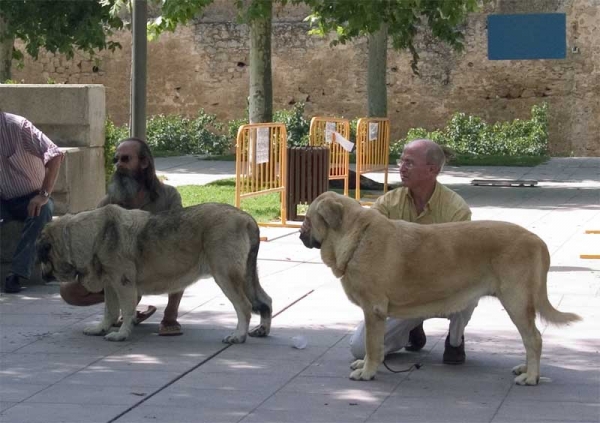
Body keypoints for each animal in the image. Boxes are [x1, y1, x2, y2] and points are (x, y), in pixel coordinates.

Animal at [37, 203, 272, 344]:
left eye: (42, 256)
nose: (41, 275)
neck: (91, 236)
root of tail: (247, 219)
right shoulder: (110, 285)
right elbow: (109, 311)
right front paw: (101, 328)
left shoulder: (123, 285)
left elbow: (126, 311)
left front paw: (122, 334)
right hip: (247, 277)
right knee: (266, 300)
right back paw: (262, 330)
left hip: (225, 276)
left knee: (244, 306)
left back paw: (238, 336)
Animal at [300, 194, 580, 386]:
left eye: (307, 219)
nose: (300, 235)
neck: (356, 238)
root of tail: (538, 241)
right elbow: (375, 346)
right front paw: (368, 366)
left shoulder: (373, 310)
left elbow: (371, 344)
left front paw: (367, 372)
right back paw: (526, 369)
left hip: (516, 302)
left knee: (534, 339)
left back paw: (531, 377)